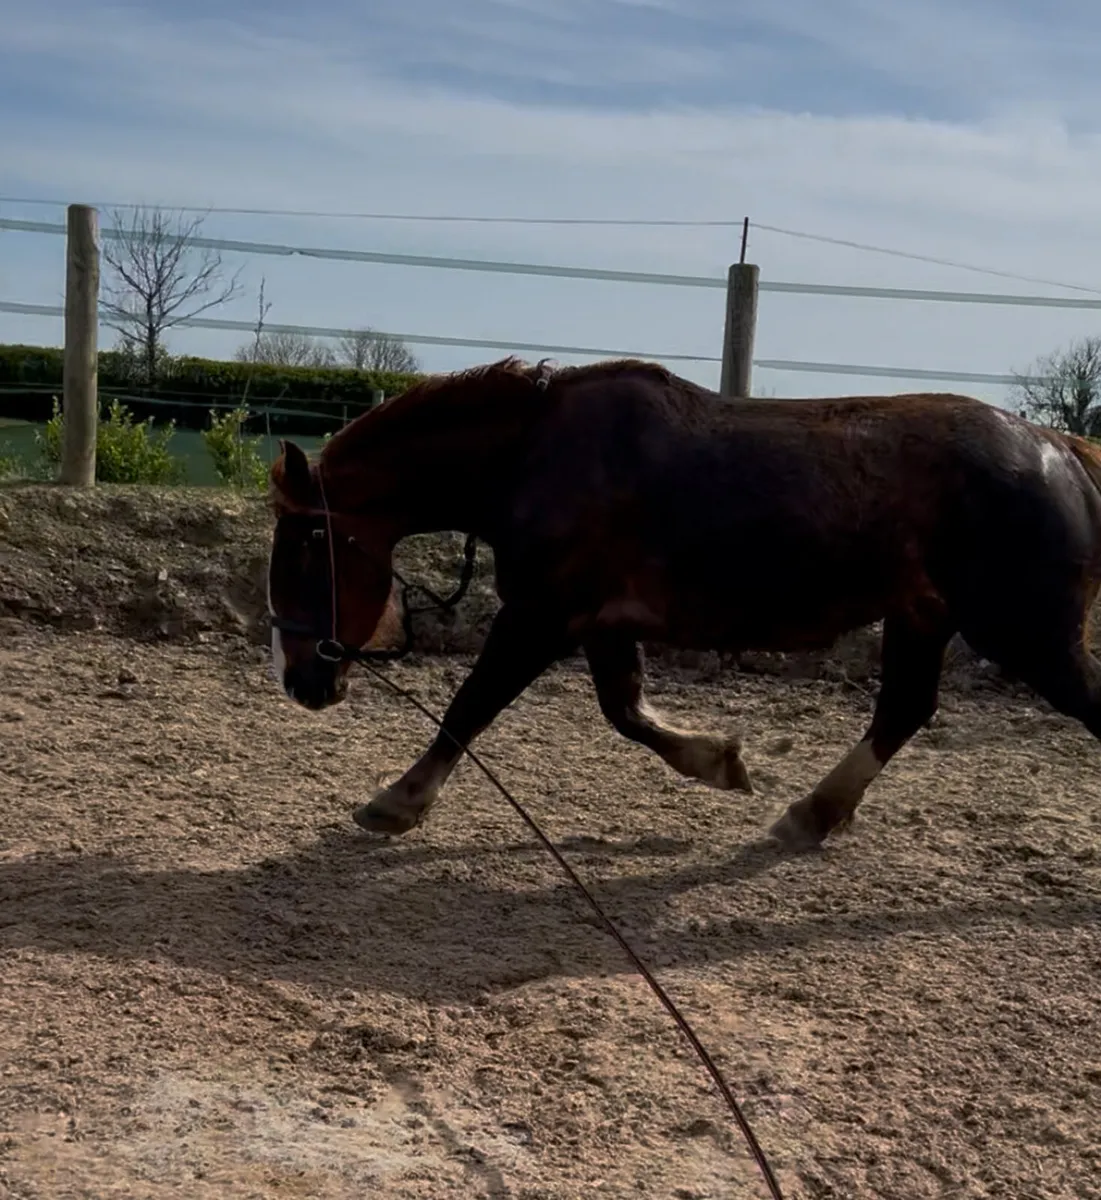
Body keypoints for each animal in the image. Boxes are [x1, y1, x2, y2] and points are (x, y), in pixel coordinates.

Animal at [266, 355, 1101, 851]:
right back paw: (810, 814)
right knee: (901, 710)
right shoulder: (598, 621)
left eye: (305, 545)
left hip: (1024, 631)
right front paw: (718, 761)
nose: (301, 681)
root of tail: (1059, 451)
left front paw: (396, 801)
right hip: (924, 615)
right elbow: (626, 713)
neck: (534, 454)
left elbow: (470, 706)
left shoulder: (539, 613)